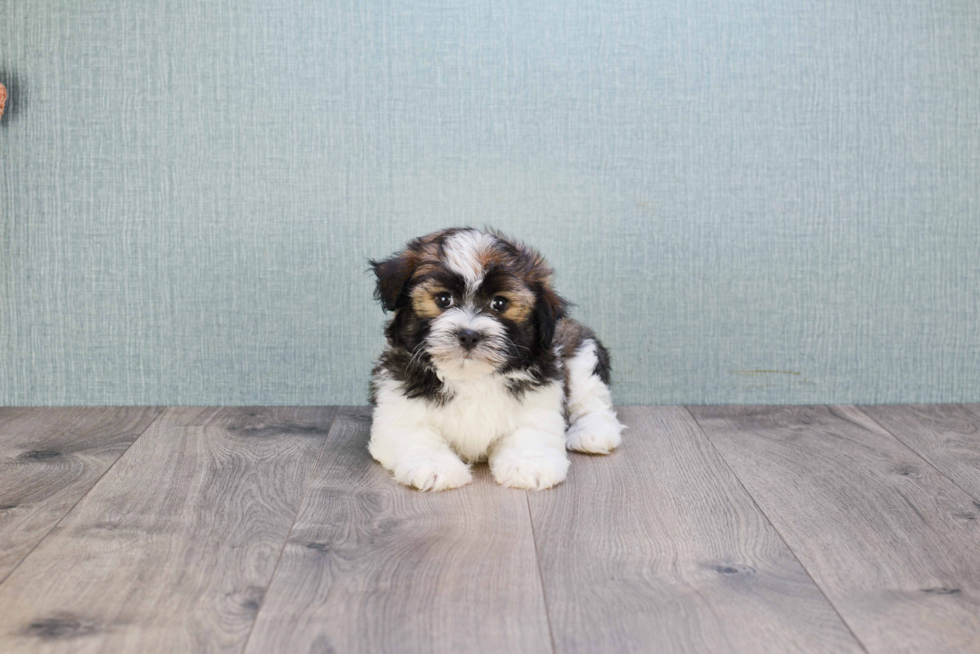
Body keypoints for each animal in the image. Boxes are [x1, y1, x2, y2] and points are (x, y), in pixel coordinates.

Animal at [364, 228, 624, 490]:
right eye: (444, 299)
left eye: (499, 303)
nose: (468, 335)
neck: (471, 378)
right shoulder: (397, 407)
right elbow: (415, 435)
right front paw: (435, 467)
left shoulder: (539, 401)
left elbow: (529, 431)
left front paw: (529, 465)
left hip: (581, 352)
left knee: (591, 399)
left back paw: (593, 433)